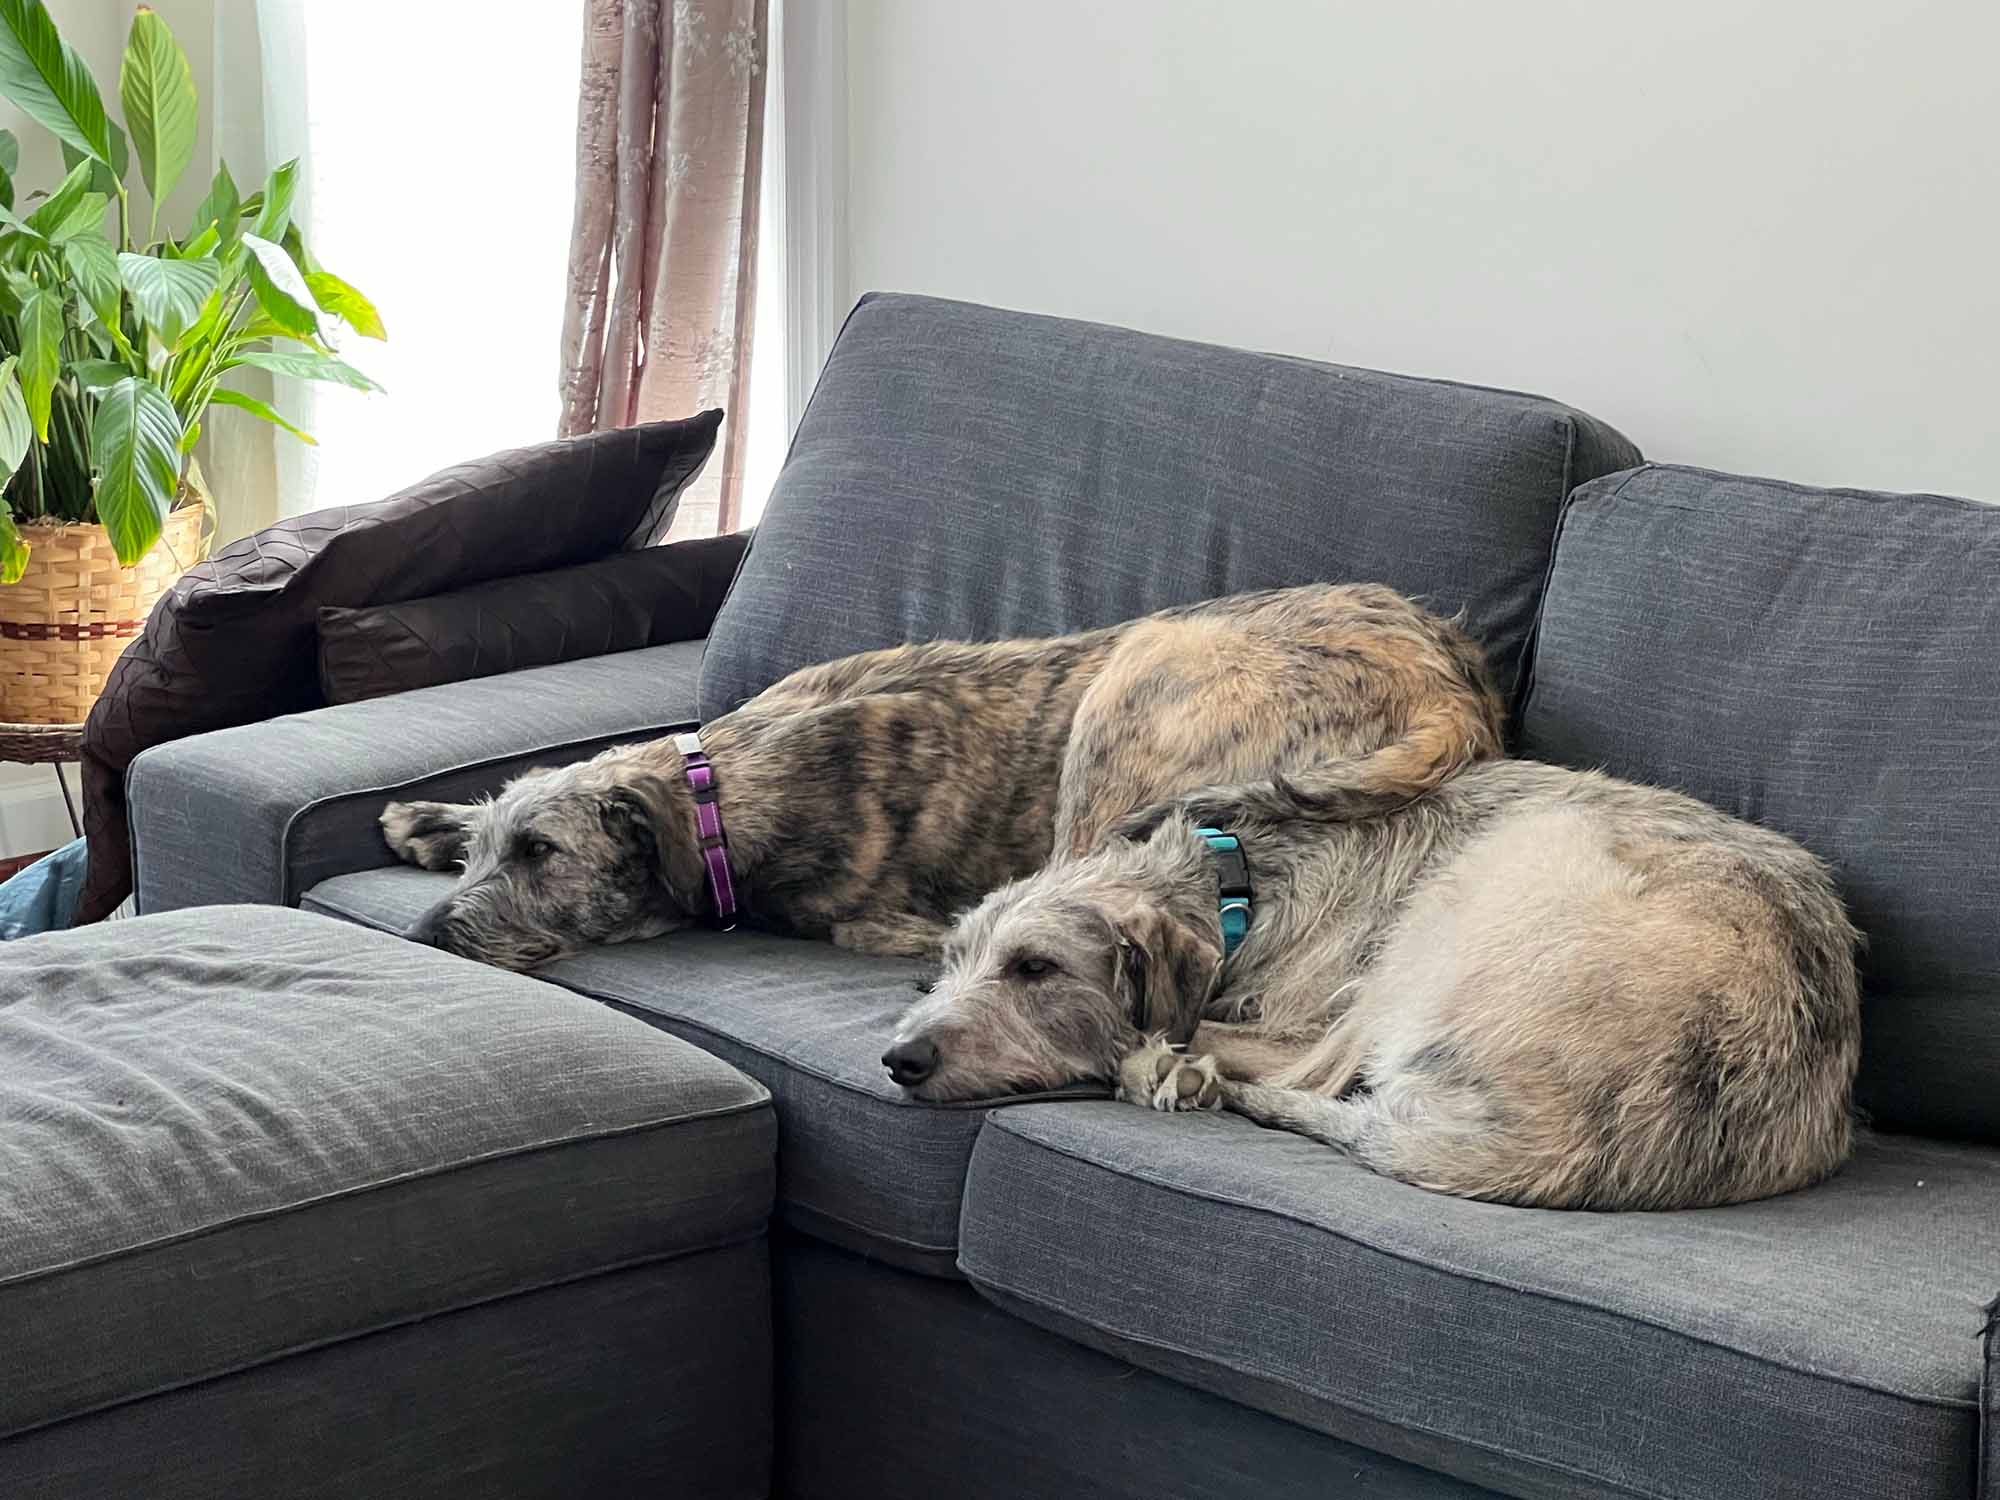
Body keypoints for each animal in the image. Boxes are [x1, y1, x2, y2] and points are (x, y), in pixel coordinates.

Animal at [378, 580, 1504, 980]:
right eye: (492, 851)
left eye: (543, 854)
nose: (425, 935)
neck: (715, 792)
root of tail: (1447, 678)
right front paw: (427, 819)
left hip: (1134, 686)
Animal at [892, 768, 1856, 1216]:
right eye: (948, 963)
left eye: (1036, 968)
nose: (901, 1057)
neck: (1239, 885)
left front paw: (1161, 1058)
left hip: (1482, 882)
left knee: (1305, 1066)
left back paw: (1171, 1071)